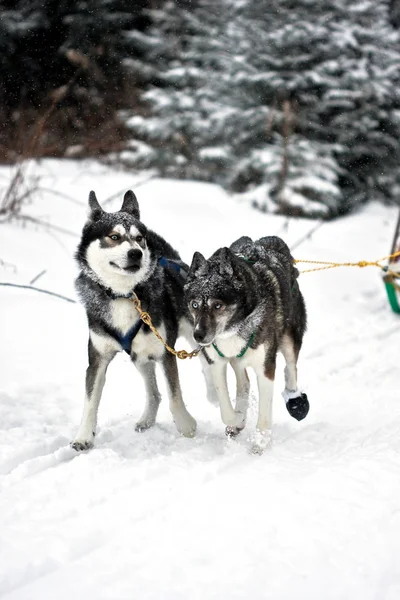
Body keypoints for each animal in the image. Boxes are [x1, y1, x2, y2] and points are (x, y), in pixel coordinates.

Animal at [72, 190, 198, 448]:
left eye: (139, 238)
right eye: (114, 236)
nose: (136, 252)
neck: (124, 295)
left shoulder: (165, 352)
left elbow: (175, 396)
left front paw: (186, 427)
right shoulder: (97, 359)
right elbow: (90, 402)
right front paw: (84, 437)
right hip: (140, 357)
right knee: (154, 394)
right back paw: (147, 420)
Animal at [184, 237, 310, 452]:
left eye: (217, 305)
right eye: (195, 304)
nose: (198, 335)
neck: (233, 329)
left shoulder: (265, 367)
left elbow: (265, 410)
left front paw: (260, 441)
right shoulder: (217, 362)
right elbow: (226, 409)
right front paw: (237, 419)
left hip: (289, 338)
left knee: (291, 367)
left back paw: (295, 401)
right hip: (238, 359)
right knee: (244, 382)